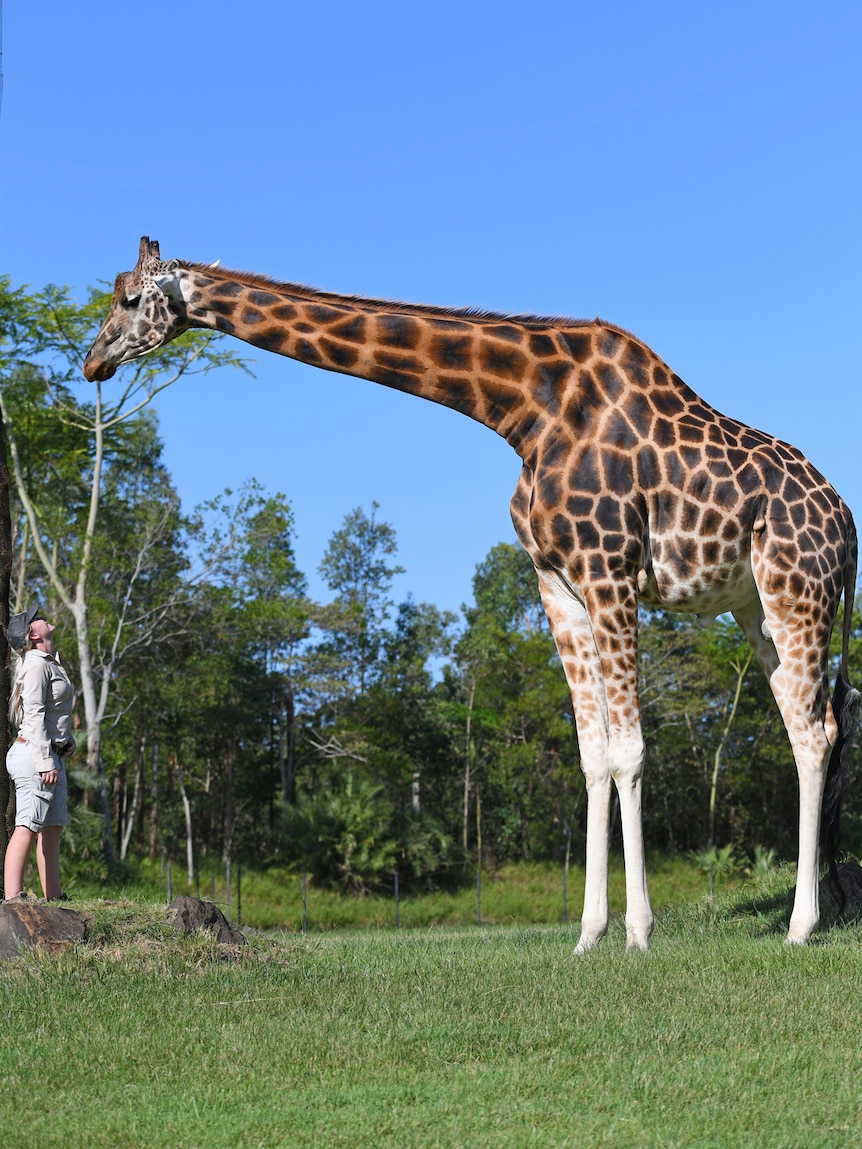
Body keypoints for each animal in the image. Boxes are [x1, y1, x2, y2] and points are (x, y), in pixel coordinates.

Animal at [84, 235, 859, 951]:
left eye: (129, 298)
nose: (92, 362)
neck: (523, 408)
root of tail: (846, 522)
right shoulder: (556, 582)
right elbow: (594, 754)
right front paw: (588, 935)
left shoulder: (610, 567)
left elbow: (632, 750)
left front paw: (639, 933)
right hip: (755, 606)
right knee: (806, 728)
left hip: (797, 591)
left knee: (814, 732)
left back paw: (801, 926)